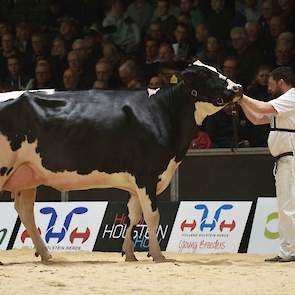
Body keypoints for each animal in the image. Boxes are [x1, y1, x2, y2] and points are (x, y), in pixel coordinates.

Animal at [0, 60, 243, 264]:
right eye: (204, 74)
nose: (238, 88)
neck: (162, 111)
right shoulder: (147, 174)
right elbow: (152, 216)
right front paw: (157, 255)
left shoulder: (137, 181)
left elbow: (133, 215)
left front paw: (129, 253)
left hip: (28, 174)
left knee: (25, 210)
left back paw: (45, 254)